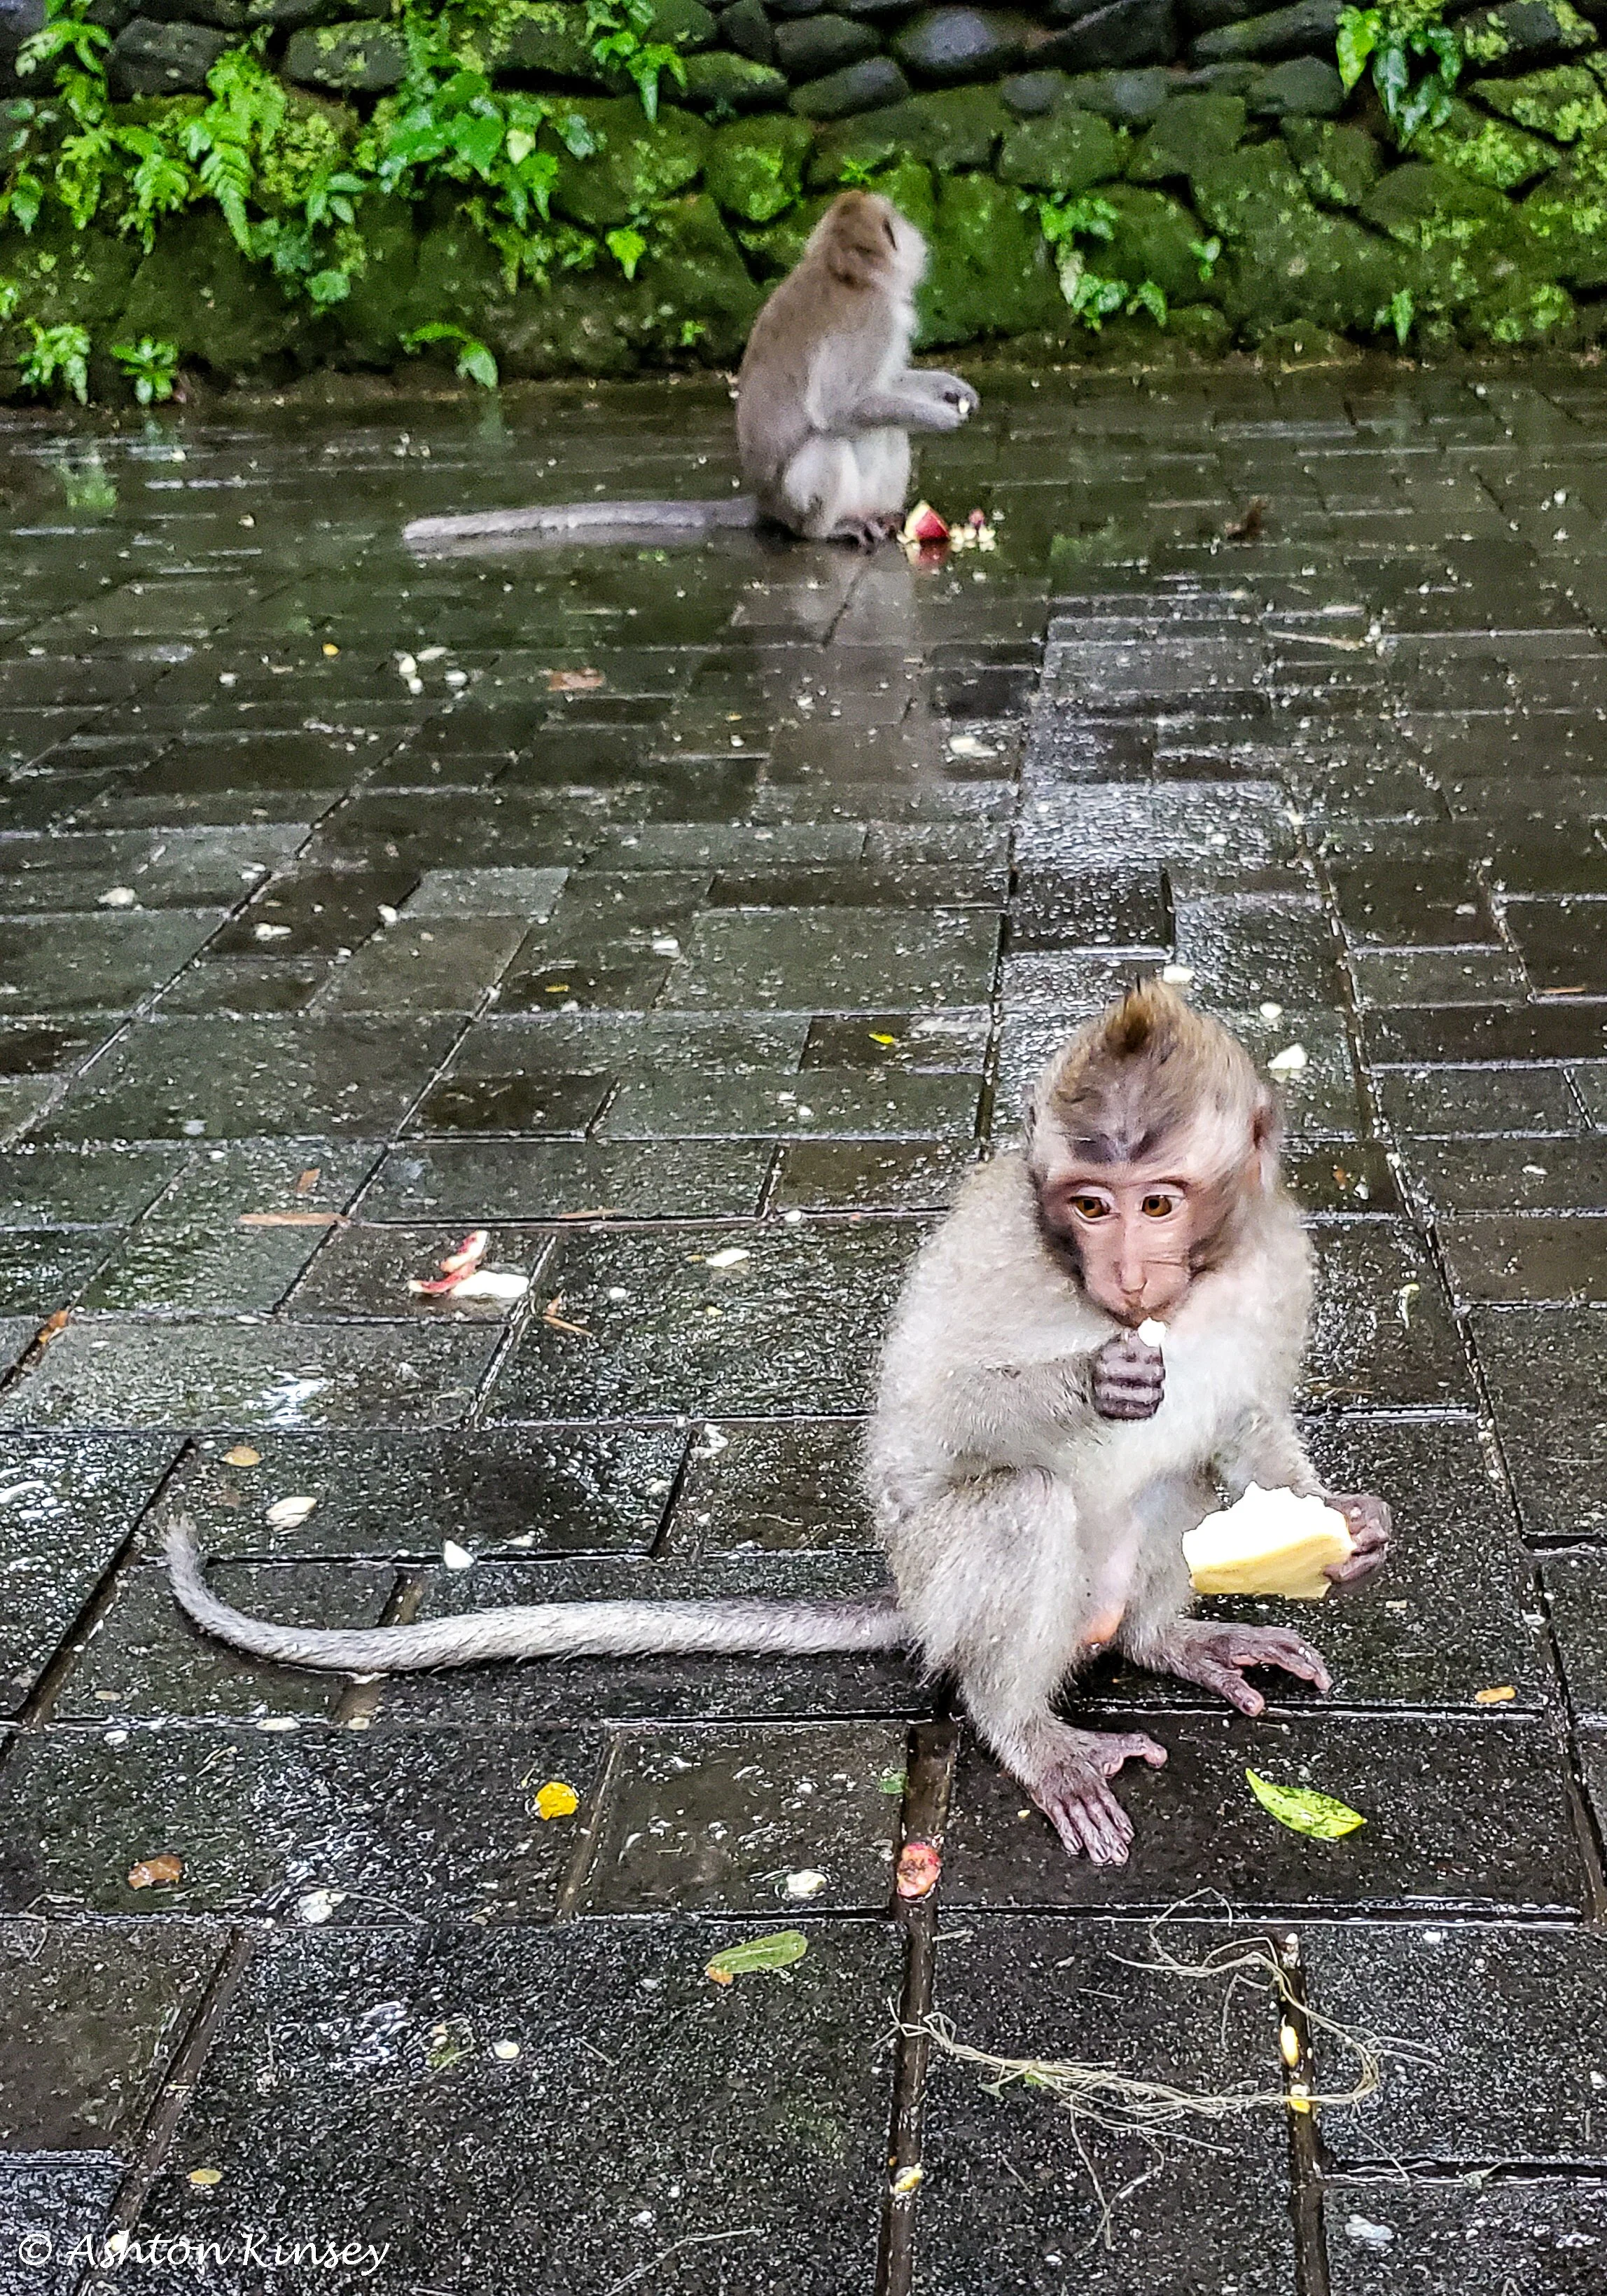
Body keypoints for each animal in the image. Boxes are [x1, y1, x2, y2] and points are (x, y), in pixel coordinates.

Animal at [160, 981, 1389, 1867]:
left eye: (1158, 1200)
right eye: (1088, 1204)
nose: (1124, 1271)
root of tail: (920, 1609)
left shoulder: (1277, 1255)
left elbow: (1243, 1417)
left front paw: (1340, 1521)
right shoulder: (997, 1247)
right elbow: (917, 1426)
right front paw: (1092, 1380)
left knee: (1179, 1485)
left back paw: (1164, 1637)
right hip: (943, 1584)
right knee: (1017, 1505)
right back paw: (1032, 1737)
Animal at [401, 192, 978, 555]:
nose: (914, 232)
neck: (849, 274)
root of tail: (764, 504)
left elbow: (882, 390)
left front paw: (948, 389)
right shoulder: (873, 317)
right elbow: (839, 407)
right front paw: (939, 417)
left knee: (885, 428)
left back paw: (883, 515)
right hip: (793, 501)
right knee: (834, 440)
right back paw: (830, 529)